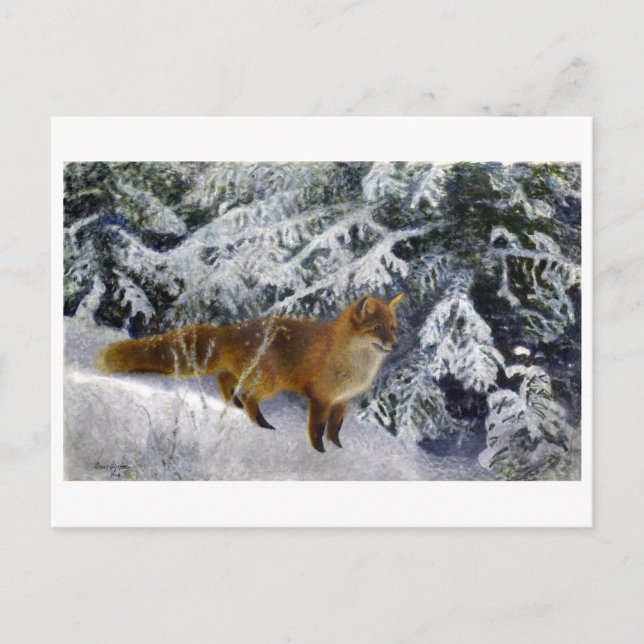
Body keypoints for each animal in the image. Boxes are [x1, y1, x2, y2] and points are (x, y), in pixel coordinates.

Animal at [98, 293, 404, 452]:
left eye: (393, 327)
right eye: (377, 328)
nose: (396, 344)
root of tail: (230, 330)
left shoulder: (342, 401)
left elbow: (335, 429)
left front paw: (339, 449)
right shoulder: (320, 398)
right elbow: (317, 430)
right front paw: (319, 453)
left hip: (252, 375)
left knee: (224, 379)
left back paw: (234, 405)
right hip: (269, 383)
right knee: (247, 396)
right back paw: (261, 424)